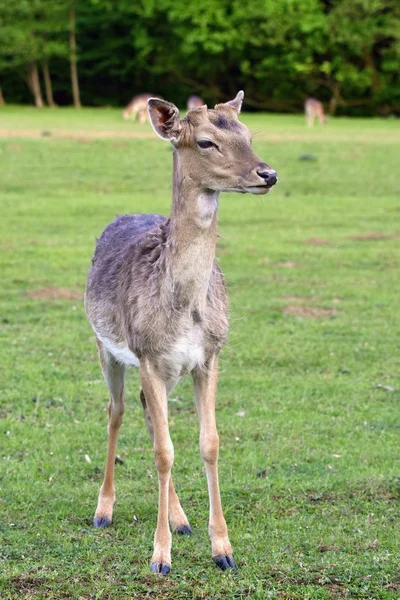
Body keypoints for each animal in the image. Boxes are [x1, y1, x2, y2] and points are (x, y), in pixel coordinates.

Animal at [85, 90, 278, 576]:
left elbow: (208, 442)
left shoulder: (208, 356)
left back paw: (181, 518)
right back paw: (103, 510)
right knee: (117, 411)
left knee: (146, 413)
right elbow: (163, 451)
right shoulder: (148, 355)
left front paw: (223, 549)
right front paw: (160, 557)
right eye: (206, 142)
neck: (185, 308)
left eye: (247, 135)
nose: (268, 174)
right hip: (105, 347)